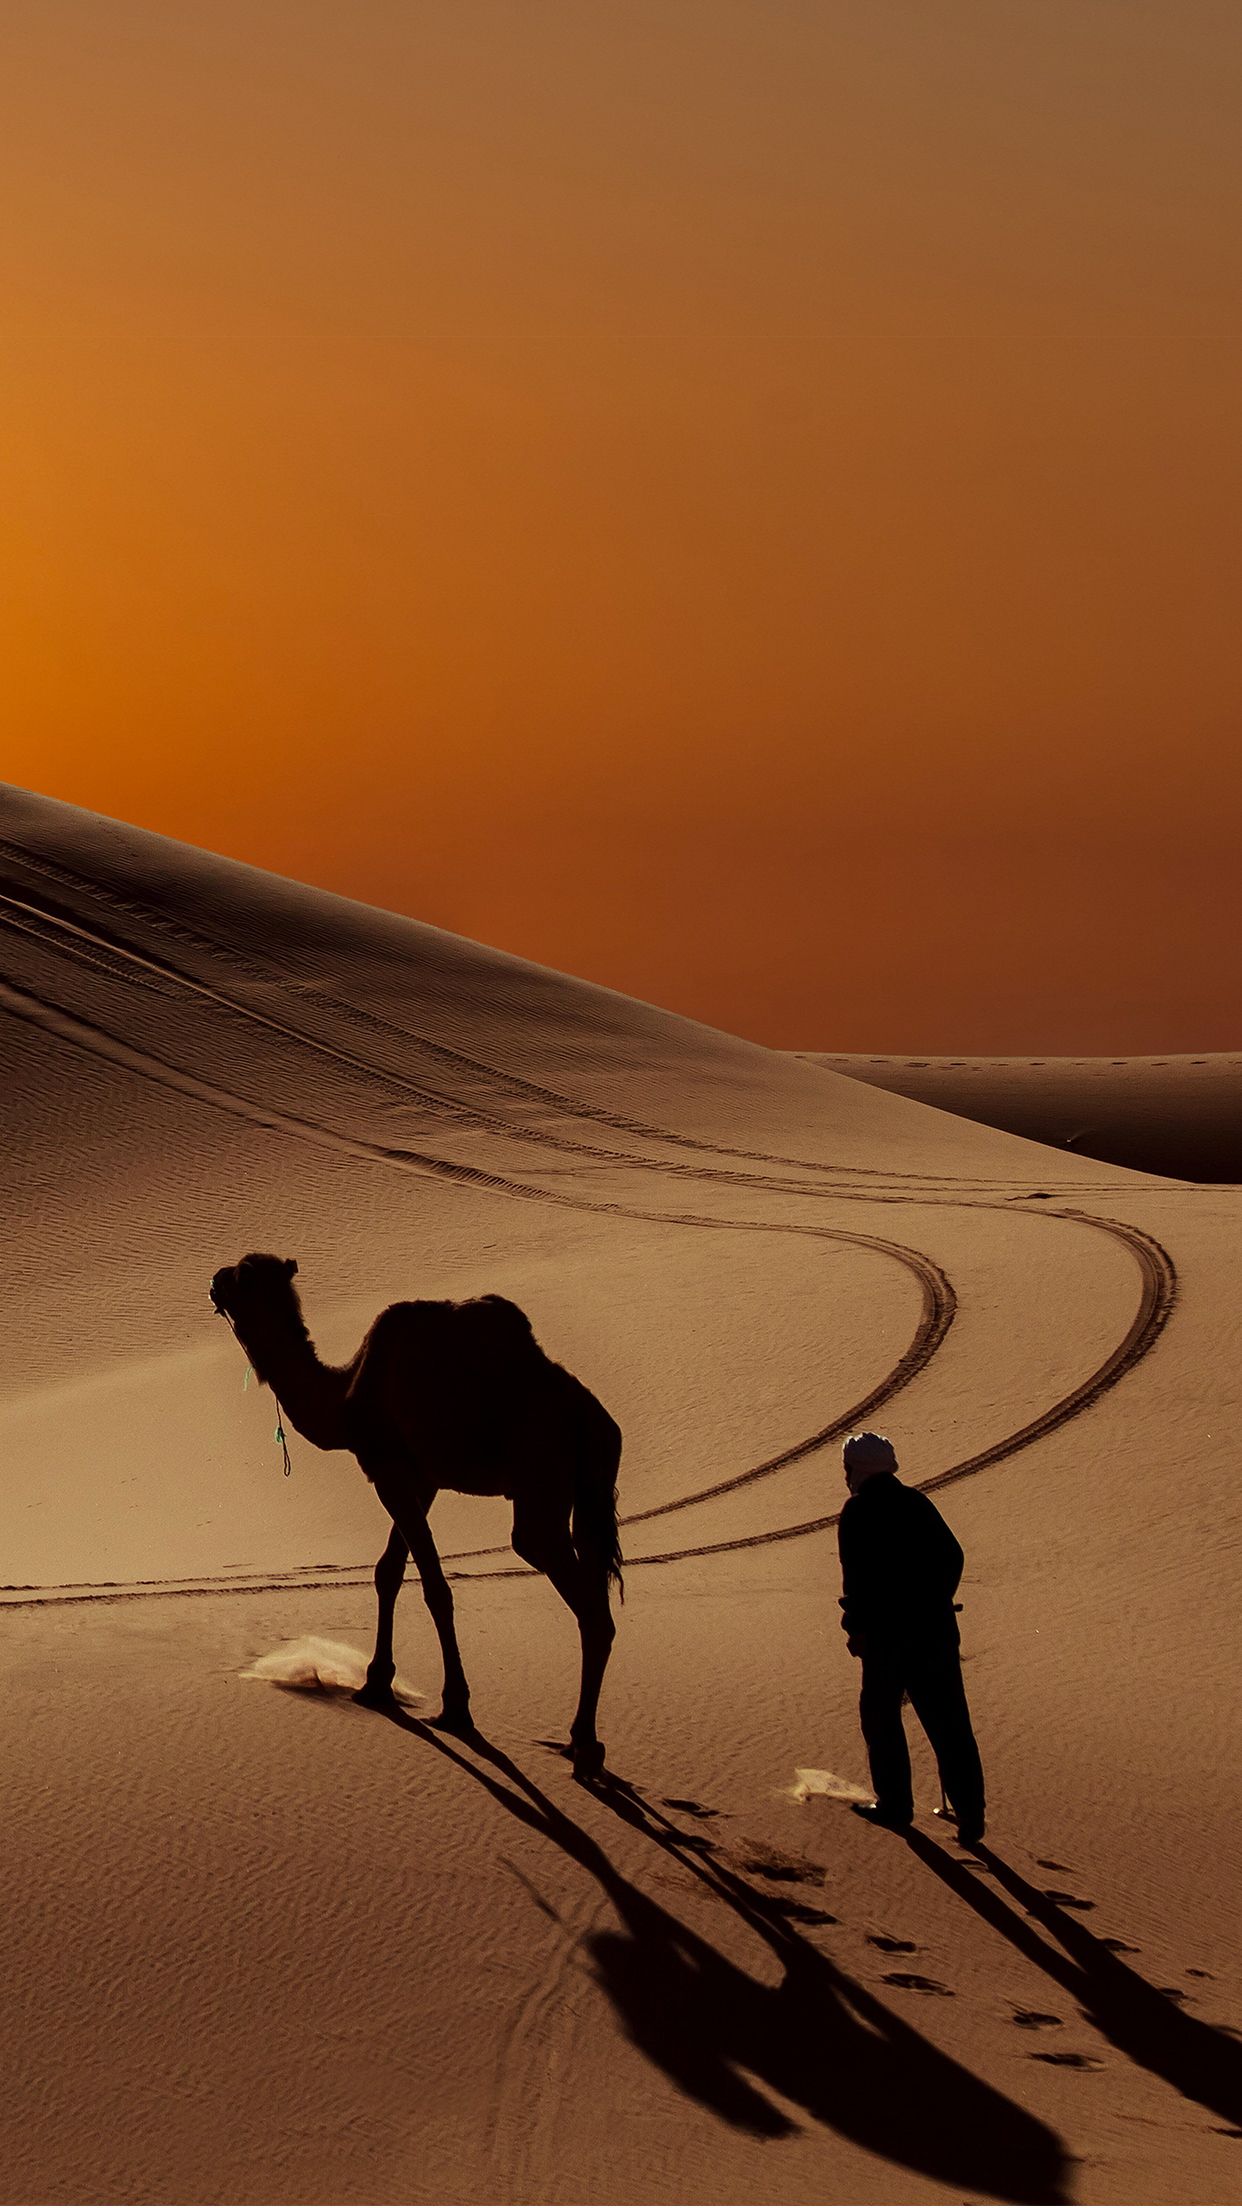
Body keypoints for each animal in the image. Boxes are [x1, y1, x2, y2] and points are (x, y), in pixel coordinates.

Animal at [209, 1254, 627, 1784]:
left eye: (242, 1275)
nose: (214, 1281)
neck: (347, 1395)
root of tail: (592, 1421)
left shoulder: (387, 1467)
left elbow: (433, 1587)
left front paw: (454, 1707)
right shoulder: (421, 1478)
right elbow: (388, 1571)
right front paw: (375, 1682)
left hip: (540, 1485)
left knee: (582, 1600)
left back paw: (585, 1746)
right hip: (590, 1493)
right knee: (596, 1589)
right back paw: (581, 1743)